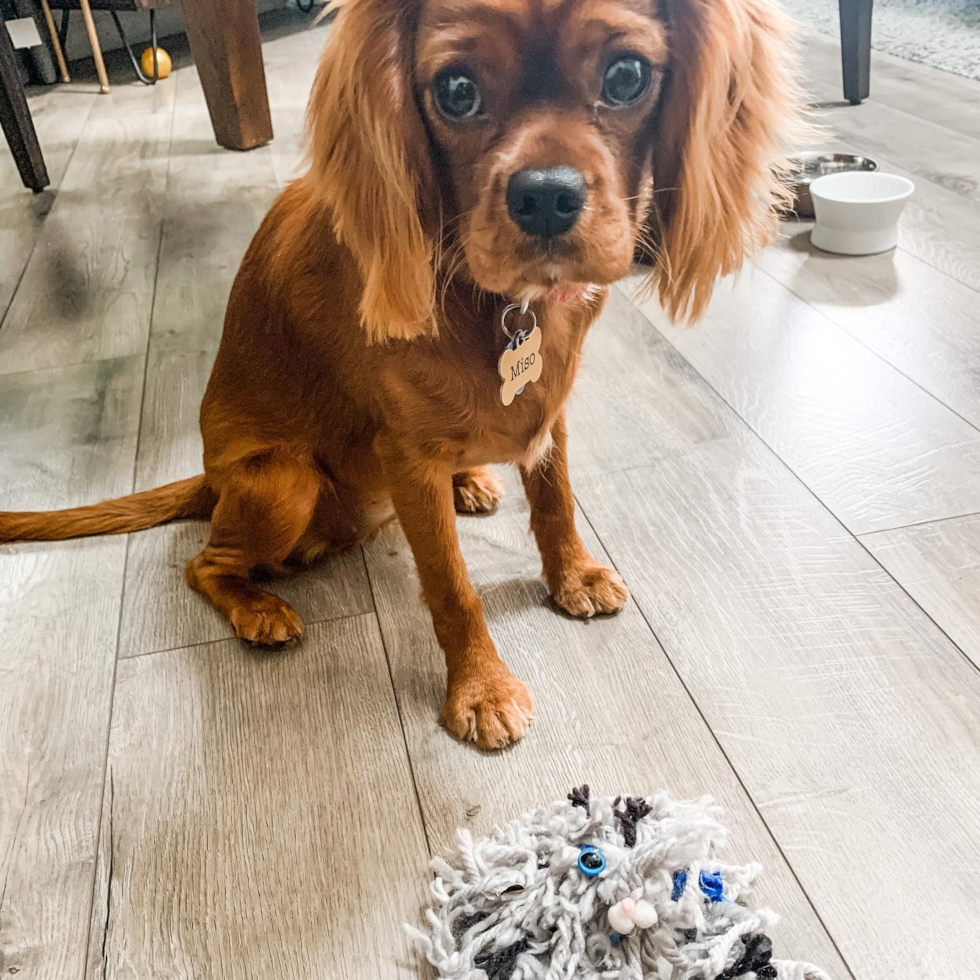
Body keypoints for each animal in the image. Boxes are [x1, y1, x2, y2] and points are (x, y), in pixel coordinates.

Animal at [0, 0, 800, 752]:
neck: (500, 304)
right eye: (456, 92)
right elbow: (451, 587)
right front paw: (480, 690)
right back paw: (259, 608)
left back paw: (469, 481)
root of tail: (210, 477)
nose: (545, 197)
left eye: (628, 76)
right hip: (283, 482)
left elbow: (556, 502)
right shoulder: (407, 459)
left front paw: (570, 576)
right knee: (204, 564)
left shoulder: (550, 410)